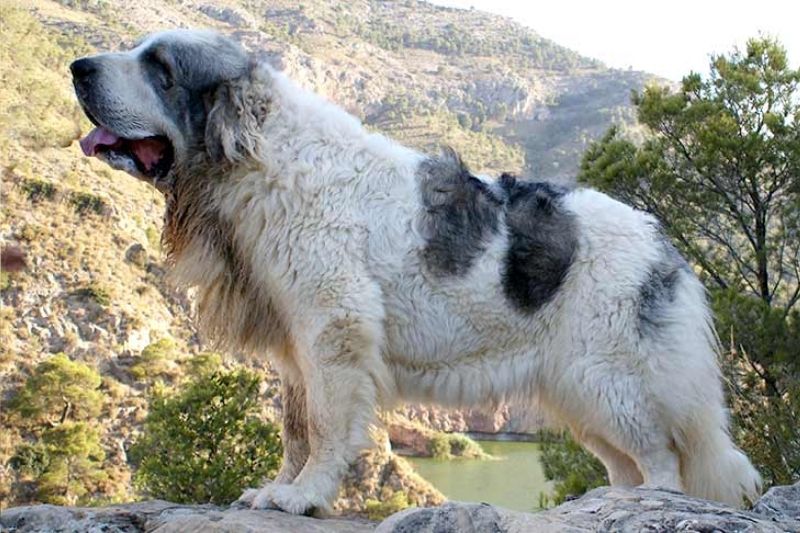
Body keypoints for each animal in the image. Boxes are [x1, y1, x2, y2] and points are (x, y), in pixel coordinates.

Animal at [72, 30, 760, 516]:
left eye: (160, 69)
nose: (79, 68)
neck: (256, 161)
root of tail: (664, 246)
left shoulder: (333, 332)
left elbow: (324, 427)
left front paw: (303, 496)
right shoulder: (297, 348)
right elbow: (294, 429)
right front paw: (275, 489)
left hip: (609, 378)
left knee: (662, 461)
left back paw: (644, 504)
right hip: (580, 392)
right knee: (626, 464)